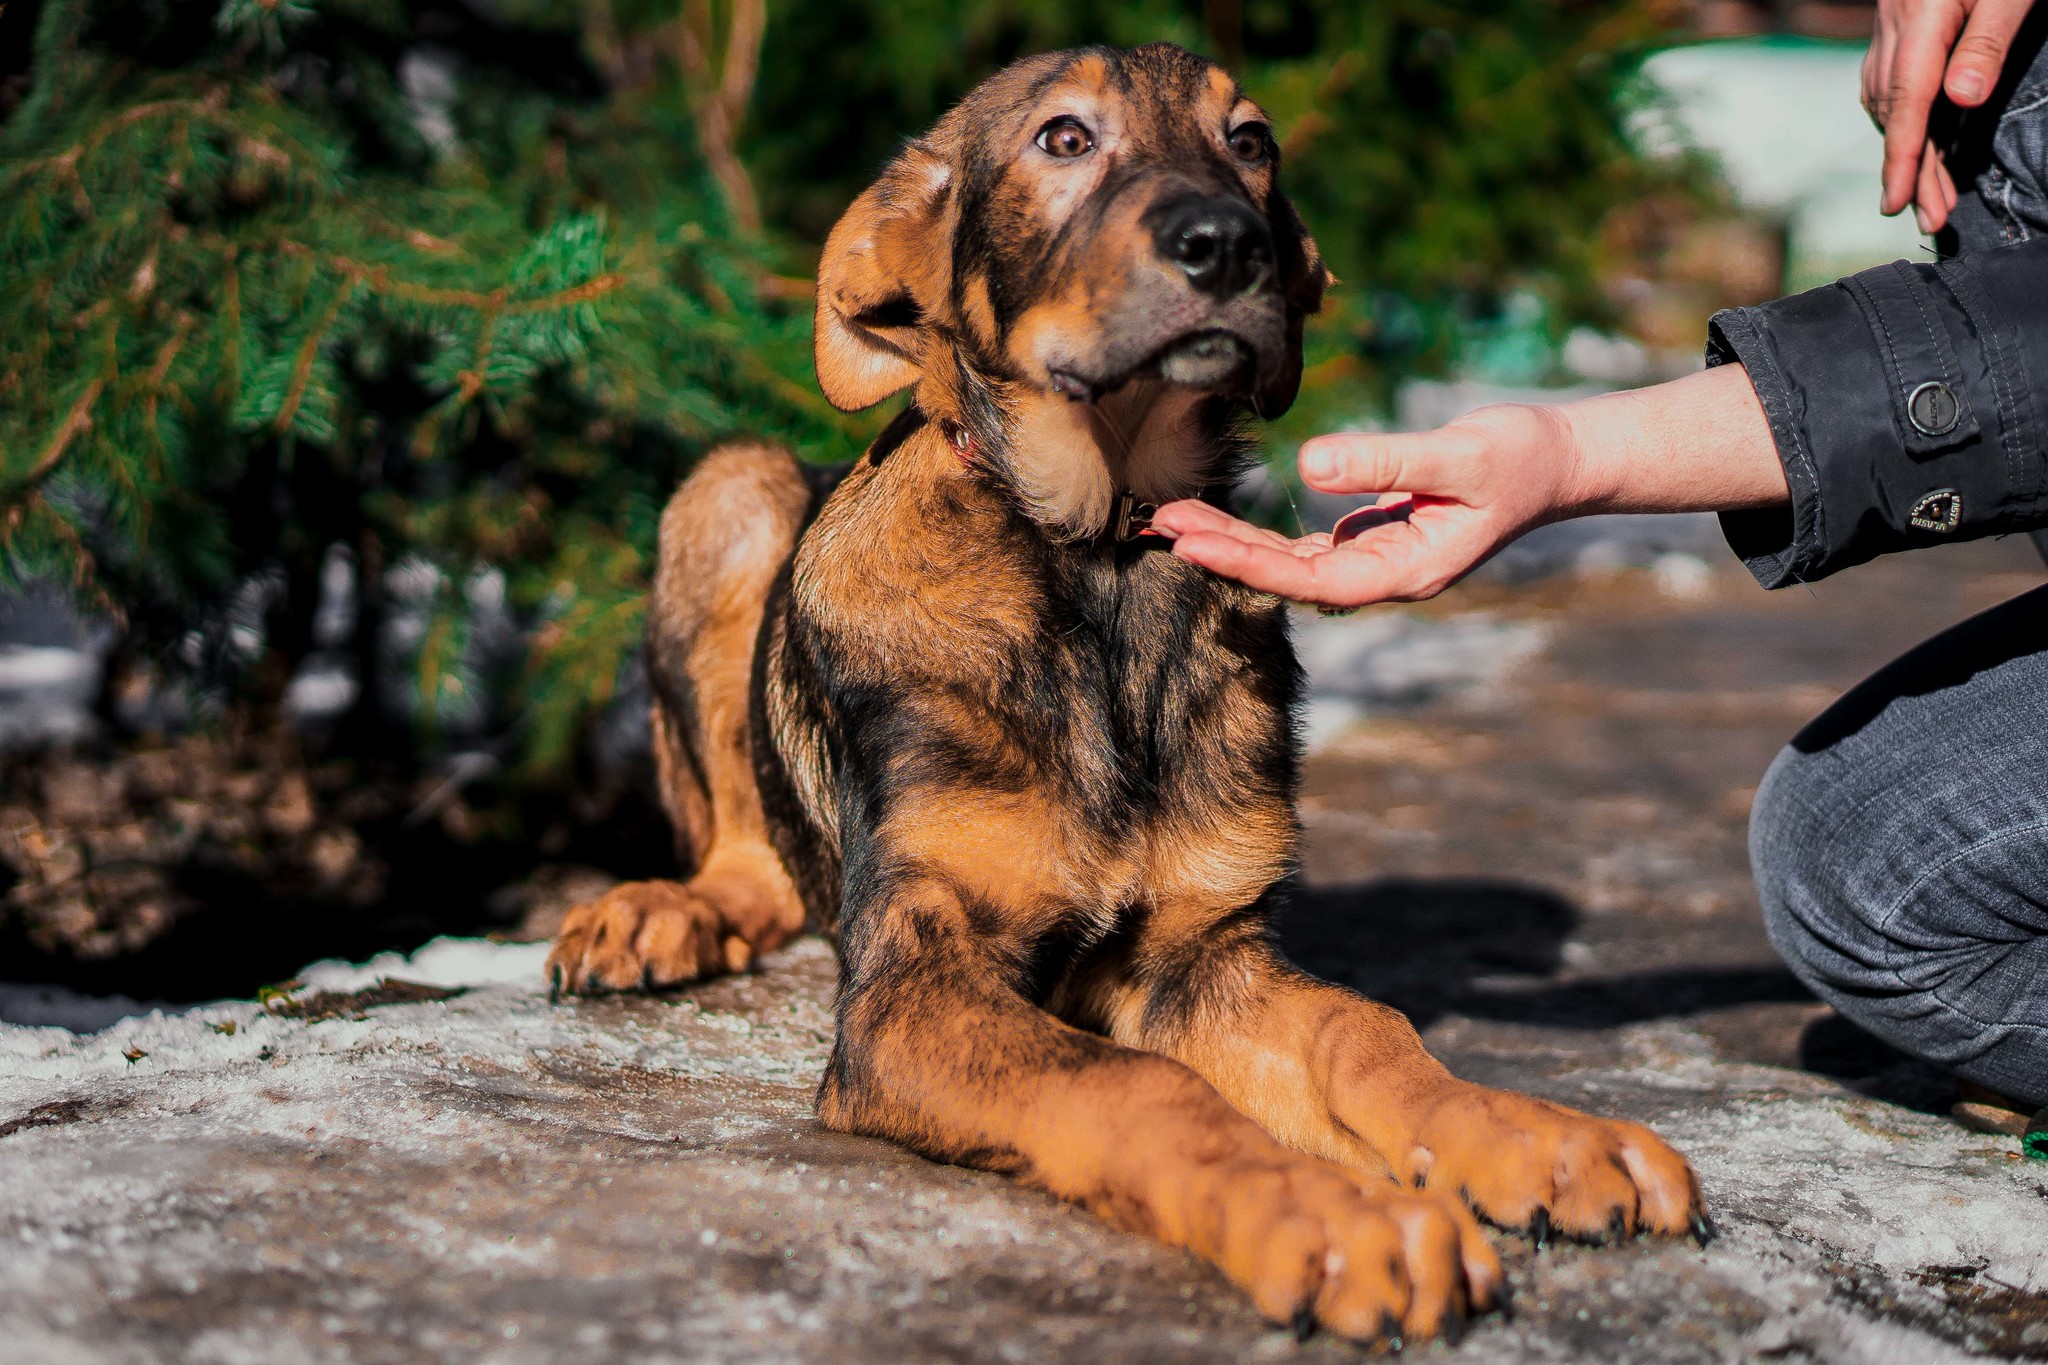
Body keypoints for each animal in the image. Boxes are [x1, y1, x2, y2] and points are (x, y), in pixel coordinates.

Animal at [548, 40, 1712, 1342]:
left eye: (1250, 144)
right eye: (1063, 139)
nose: (1225, 246)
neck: (1100, 561)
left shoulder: (1196, 957)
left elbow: (1366, 1029)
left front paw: (1532, 1139)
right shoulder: (914, 980)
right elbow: (1135, 1085)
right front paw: (1332, 1219)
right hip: (729, 489)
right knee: (747, 852)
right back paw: (659, 913)